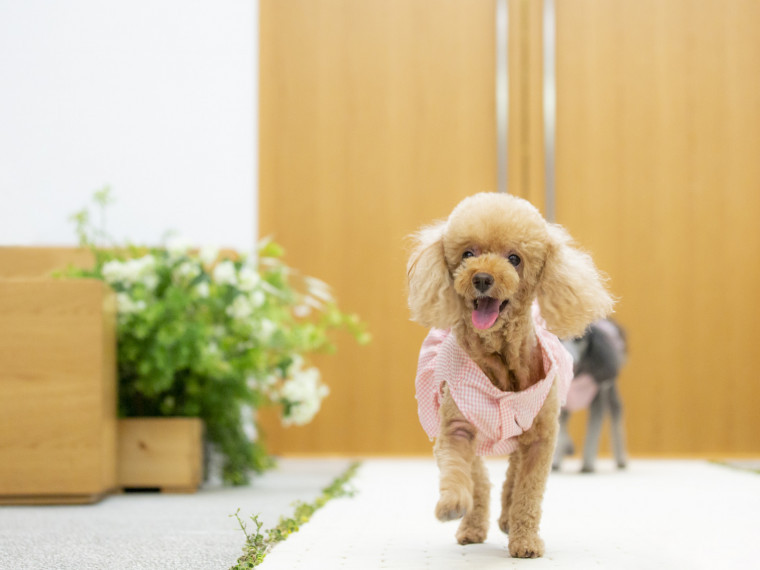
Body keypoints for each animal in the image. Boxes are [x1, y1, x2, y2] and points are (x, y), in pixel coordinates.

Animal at [552, 320, 628, 470]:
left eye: (578, 339)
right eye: (559, 338)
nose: (570, 358)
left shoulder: (598, 400)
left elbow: (593, 432)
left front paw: (588, 465)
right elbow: (560, 432)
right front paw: (556, 459)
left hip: (611, 392)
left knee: (616, 421)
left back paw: (621, 460)